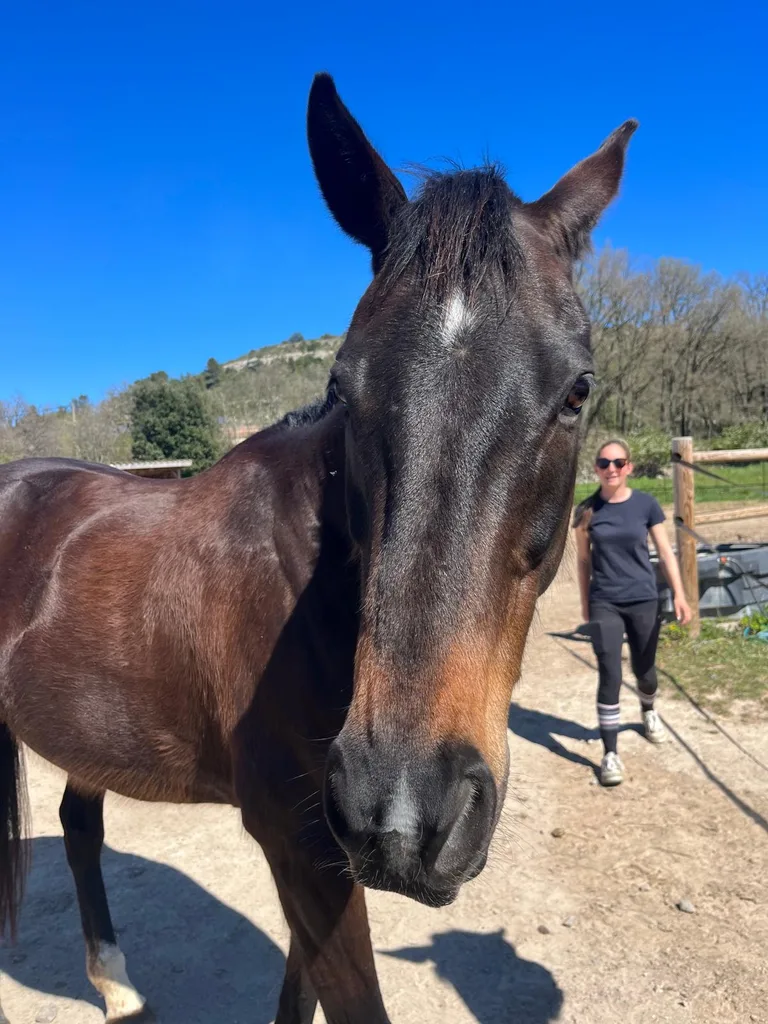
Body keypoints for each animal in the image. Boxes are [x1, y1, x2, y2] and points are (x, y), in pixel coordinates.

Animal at [0, 73, 636, 1023]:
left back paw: (116, 986)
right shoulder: (303, 846)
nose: (408, 811)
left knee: (80, 824)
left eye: (577, 390)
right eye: (345, 383)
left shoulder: (324, 853)